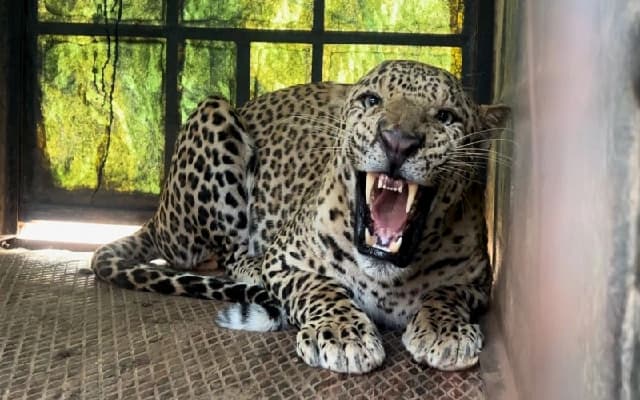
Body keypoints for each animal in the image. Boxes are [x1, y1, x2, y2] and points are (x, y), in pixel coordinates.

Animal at [91, 60, 509, 374]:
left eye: (446, 117)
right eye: (372, 100)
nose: (398, 141)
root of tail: (159, 214)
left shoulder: (476, 280)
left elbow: (445, 292)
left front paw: (446, 332)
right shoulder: (285, 261)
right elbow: (319, 288)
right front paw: (342, 334)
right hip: (214, 112)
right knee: (221, 254)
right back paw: (250, 265)